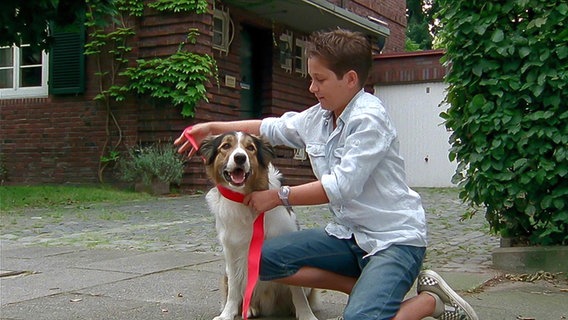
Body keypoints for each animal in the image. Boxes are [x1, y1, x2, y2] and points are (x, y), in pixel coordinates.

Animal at [199, 131, 320, 320]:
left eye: (250, 148)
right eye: (226, 146)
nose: (240, 157)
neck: (244, 198)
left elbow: (297, 291)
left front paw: (306, 314)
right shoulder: (231, 250)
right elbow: (234, 286)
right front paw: (227, 314)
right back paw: (248, 308)